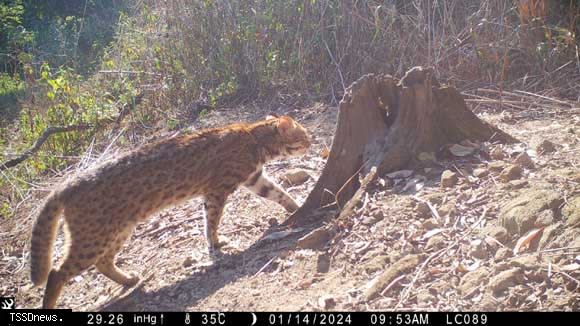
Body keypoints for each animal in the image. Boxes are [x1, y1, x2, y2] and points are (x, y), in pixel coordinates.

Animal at [30, 114, 312, 308]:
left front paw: (297, 206)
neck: (255, 138)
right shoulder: (217, 190)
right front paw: (215, 244)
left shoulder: (254, 179)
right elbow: (212, 220)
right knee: (56, 273)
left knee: (103, 262)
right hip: (94, 237)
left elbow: (279, 193)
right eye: (304, 136)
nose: (312, 143)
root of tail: (66, 185)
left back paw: (129, 280)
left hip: (119, 229)